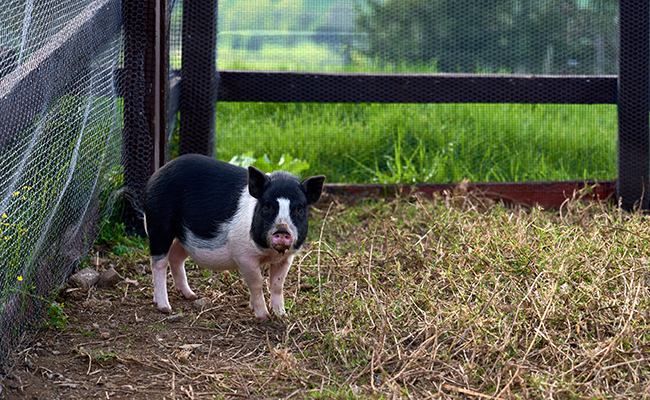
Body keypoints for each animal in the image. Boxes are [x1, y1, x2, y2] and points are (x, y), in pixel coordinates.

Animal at [142, 155, 324, 320]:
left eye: (299, 209)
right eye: (267, 206)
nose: (282, 230)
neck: (268, 253)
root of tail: (155, 176)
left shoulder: (286, 258)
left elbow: (278, 284)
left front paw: (281, 314)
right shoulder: (244, 256)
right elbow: (257, 283)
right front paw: (264, 316)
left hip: (184, 238)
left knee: (176, 258)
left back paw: (191, 295)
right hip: (158, 225)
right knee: (158, 263)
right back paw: (165, 308)